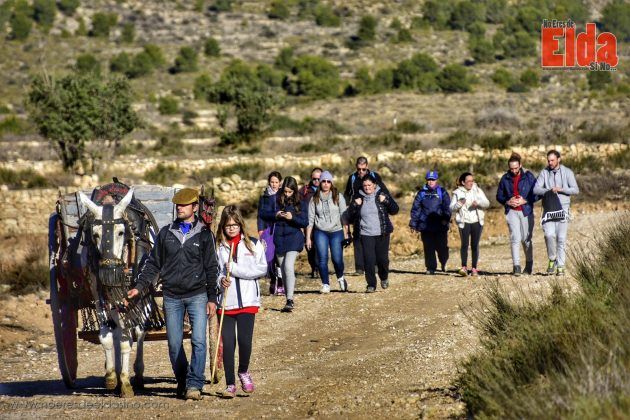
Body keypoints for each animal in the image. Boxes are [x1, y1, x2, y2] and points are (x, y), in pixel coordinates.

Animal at [78, 189, 148, 398]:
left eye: (121, 232)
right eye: (94, 234)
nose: (110, 272)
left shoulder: (132, 295)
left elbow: (127, 339)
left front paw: (125, 381)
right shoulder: (98, 293)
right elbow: (107, 336)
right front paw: (111, 375)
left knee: (139, 331)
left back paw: (138, 374)